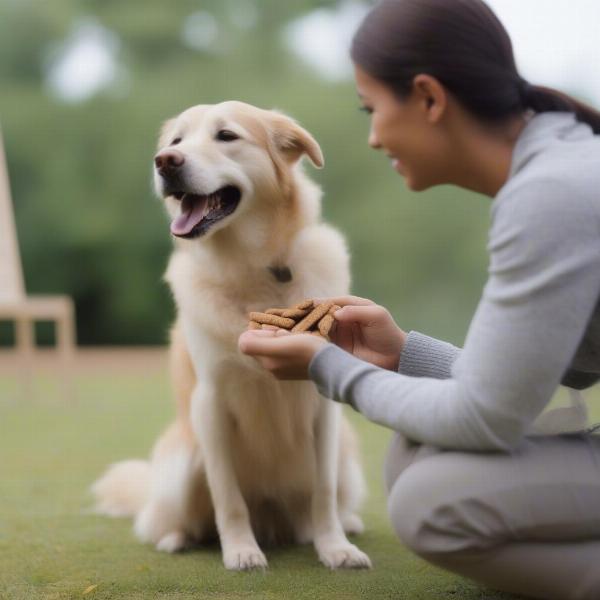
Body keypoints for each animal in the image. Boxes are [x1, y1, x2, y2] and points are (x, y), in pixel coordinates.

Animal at [92, 101, 370, 568]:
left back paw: (344, 526)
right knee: (164, 520)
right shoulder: (211, 400)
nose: (165, 162)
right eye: (176, 141)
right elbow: (228, 496)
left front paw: (335, 548)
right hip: (182, 460)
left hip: (347, 456)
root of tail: (273, 521)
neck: (253, 267)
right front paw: (241, 551)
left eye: (226, 136)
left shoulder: (323, 406)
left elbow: (324, 492)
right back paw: (177, 539)